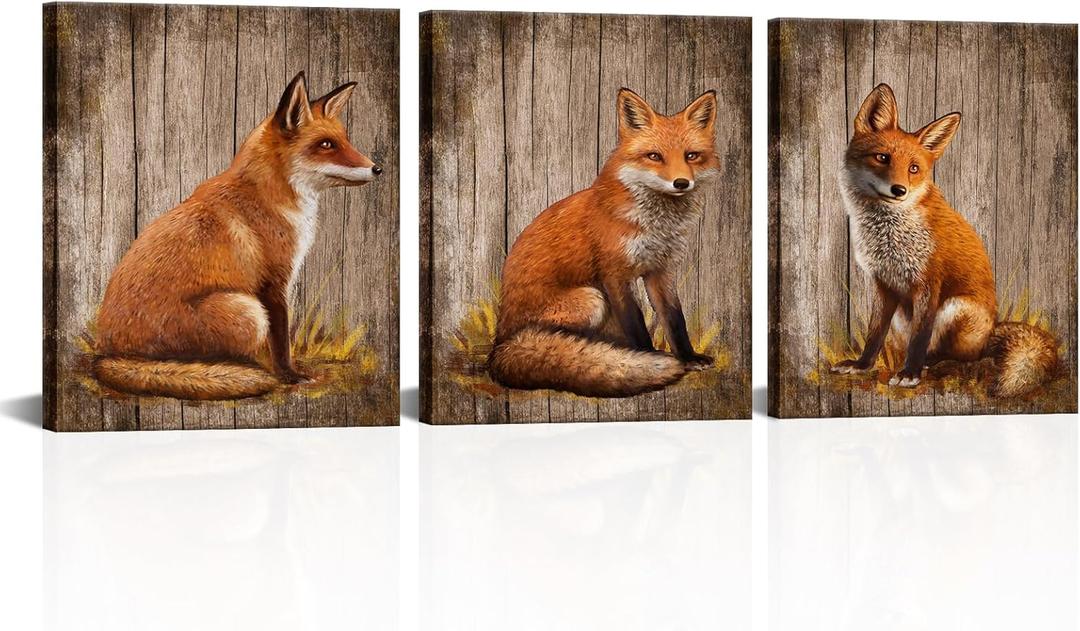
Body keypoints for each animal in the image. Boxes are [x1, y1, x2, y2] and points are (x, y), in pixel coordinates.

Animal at [93, 72, 382, 400]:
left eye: (345, 140)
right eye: (325, 144)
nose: (378, 168)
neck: (270, 197)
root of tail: (106, 354)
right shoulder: (273, 283)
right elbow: (281, 340)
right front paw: (290, 376)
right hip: (247, 311)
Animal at [488, 88, 719, 398]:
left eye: (691, 156)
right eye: (654, 156)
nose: (681, 183)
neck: (655, 225)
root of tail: (499, 343)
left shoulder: (660, 270)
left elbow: (674, 319)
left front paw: (689, 357)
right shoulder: (614, 273)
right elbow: (635, 323)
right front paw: (645, 357)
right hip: (592, 298)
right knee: (558, 337)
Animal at [831, 83, 1058, 398]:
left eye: (914, 168)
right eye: (882, 158)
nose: (899, 190)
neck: (887, 235)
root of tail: (993, 329)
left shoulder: (929, 282)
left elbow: (919, 337)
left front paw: (909, 374)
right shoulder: (884, 283)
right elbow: (875, 333)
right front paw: (862, 365)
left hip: (954, 308)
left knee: (964, 355)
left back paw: (931, 362)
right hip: (904, 316)